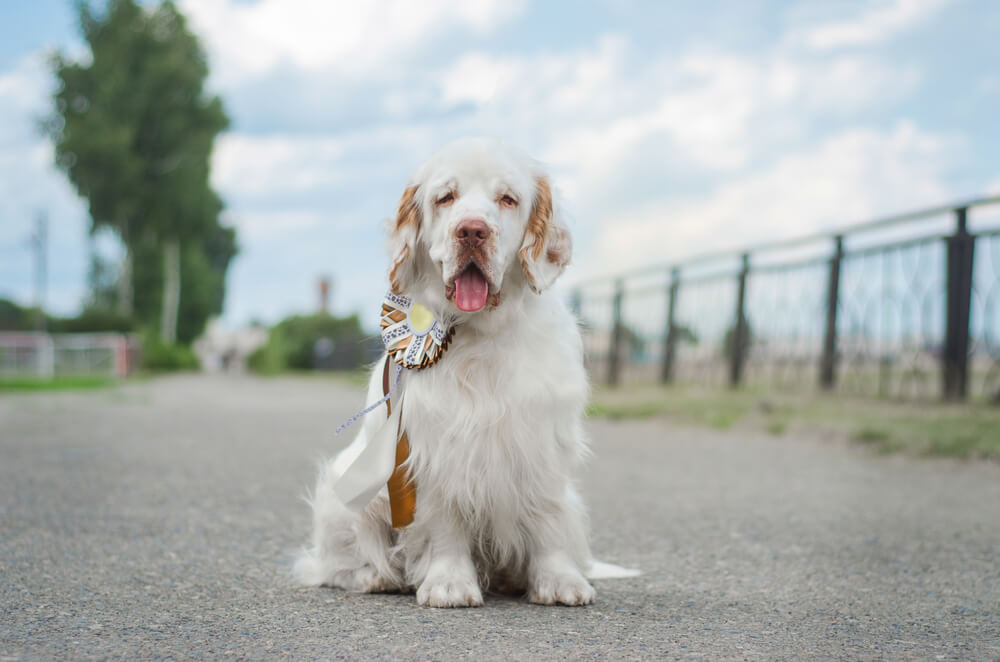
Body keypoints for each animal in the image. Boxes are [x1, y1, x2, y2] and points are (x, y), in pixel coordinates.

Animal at [292, 137, 596, 608]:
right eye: (445, 197)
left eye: (508, 199)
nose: (471, 231)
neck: (481, 336)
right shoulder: (434, 444)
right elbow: (444, 521)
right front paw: (449, 583)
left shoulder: (542, 439)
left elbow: (546, 514)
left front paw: (559, 580)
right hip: (345, 490)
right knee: (333, 563)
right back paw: (375, 577)